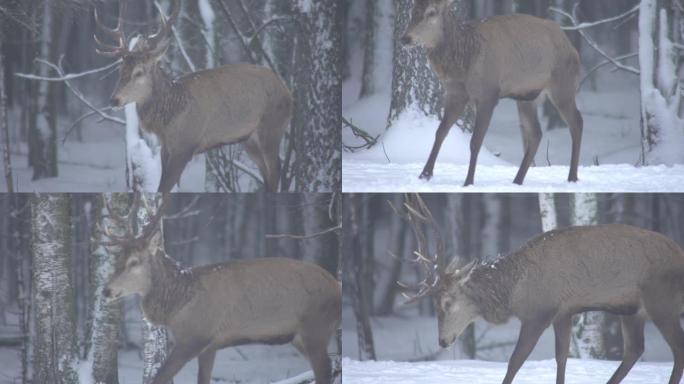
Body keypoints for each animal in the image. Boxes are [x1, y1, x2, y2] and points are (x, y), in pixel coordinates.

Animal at [93, 0, 292, 192]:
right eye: (121, 70)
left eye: (139, 72)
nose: (114, 99)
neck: (169, 121)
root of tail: (289, 93)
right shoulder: (166, 148)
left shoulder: (186, 146)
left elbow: (163, 189)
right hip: (249, 138)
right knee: (267, 174)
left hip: (272, 127)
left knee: (276, 170)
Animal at [100, 195, 340, 384]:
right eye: (116, 260)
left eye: (134, 262)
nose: (106, 290)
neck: (177, 306)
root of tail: (336, 285)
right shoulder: (210, 344)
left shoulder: (194, 336)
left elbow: (159, 378)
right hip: (300, 336)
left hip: (316, 327)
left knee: (325, 371)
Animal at [398, 195, 684, 384]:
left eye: (447, 302)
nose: (442, 341)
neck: (513, 292)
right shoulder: (563, 312)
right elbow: (561, 357)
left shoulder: (539, 312)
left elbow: (515, 360)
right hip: (633, 310)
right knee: (635, 350)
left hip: (662, 300)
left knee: (676, 349)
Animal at [400, 0, 584, 186]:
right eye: (413, 11)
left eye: (431, 12)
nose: (405, 38)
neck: (463, 62)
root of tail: (572, 48)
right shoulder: (455, 93)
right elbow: (440, 132)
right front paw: (425, 174)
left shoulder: (488, 93)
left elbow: (475, 141)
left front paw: (468, 181)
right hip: (527, 97)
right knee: (536, 133)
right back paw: (517, 180)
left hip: (563, 86)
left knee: (577, 122)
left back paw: (572, 177)